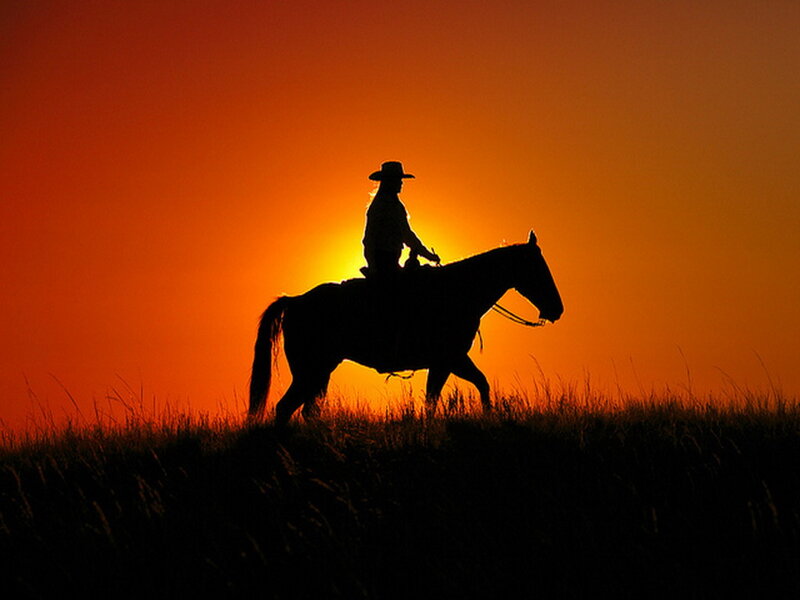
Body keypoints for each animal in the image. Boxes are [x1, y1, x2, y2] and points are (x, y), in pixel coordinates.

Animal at [249, 231, 563, 426]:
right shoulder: (447, 360)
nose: (557, 309)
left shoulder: (452, 360)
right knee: (285, 407)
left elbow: (478, 385)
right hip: (310, 371)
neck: (458, 291)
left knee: (306, 410)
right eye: (538, 268)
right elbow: (435, 399)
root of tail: (294, 300)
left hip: (319, 372)